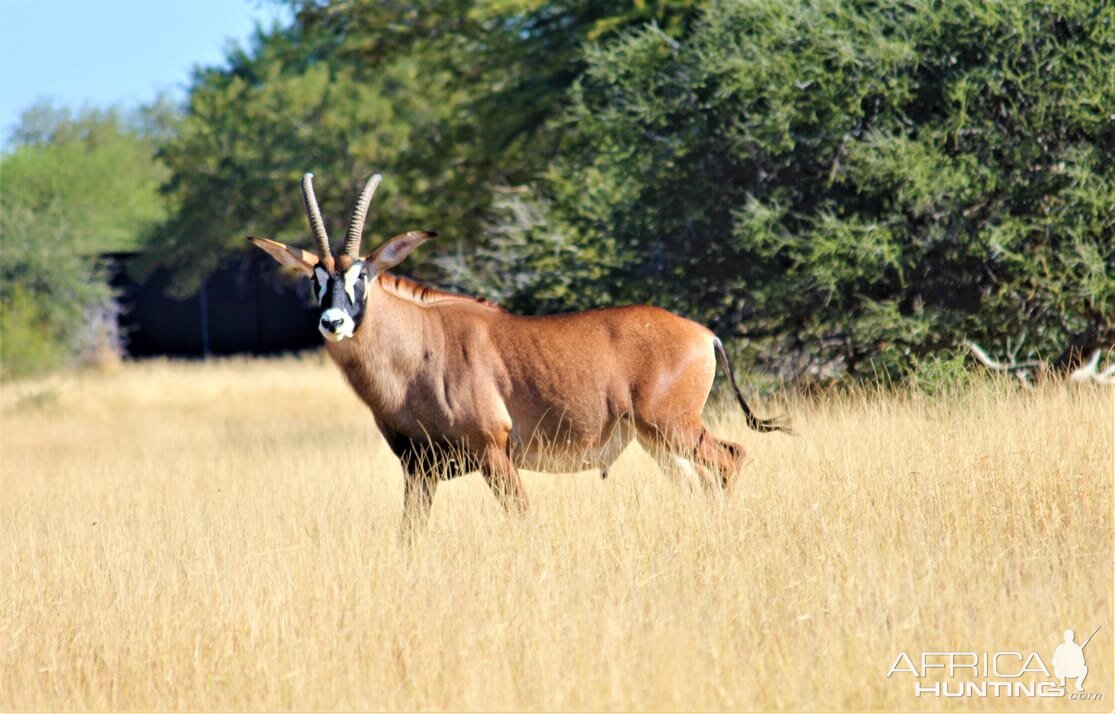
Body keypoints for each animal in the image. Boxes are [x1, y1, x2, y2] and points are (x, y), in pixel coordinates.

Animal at [250, 176, 793, 537]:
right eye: (316, 278)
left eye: (362, 275)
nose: (333, 323)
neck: (417, 347)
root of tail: (704, 334)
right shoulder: (418, 470)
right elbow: (411, 534)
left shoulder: (494, 452)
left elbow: (521, 518)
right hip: (657, 441)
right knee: (697, 483)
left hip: (673, 426)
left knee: (730, 458)